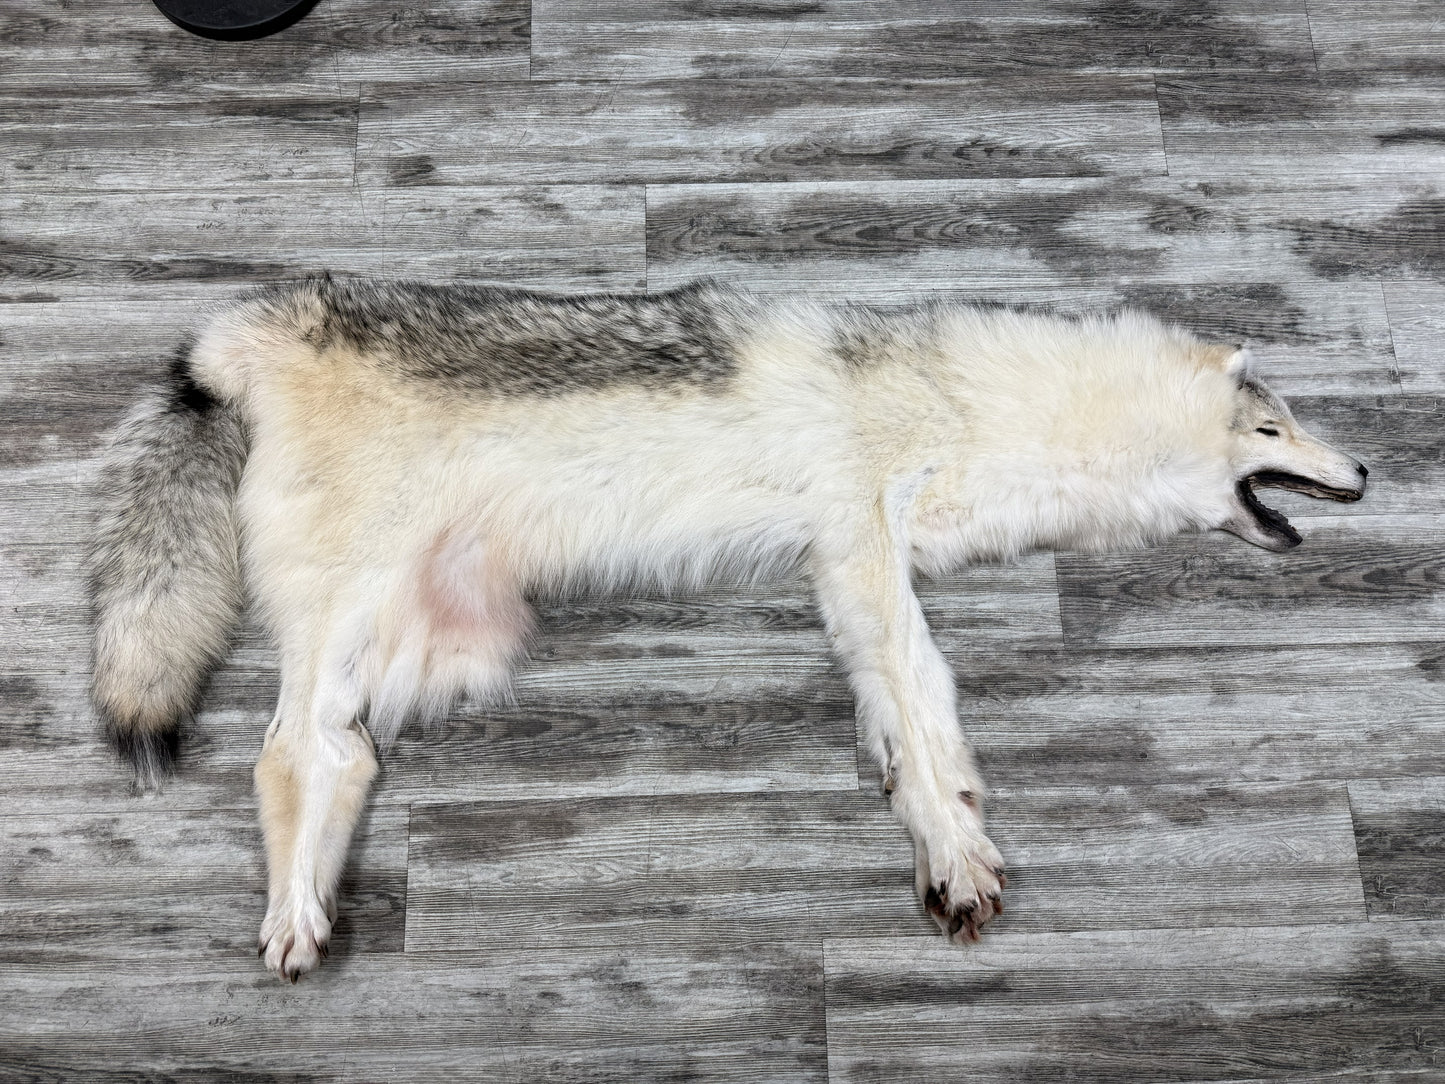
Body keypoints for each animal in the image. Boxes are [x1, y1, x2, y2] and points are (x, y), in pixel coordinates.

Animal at [90, 276, 1367, 981]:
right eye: (1276, 425)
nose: (1366, 468)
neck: (985, 411)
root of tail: (238, 332)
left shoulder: (853, 570)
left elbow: (914, 720)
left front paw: (945, 832)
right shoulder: (860, 545)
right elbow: (923, 704)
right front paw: (955, 857)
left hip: (428, 645)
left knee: (340, 756)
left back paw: (307, 907)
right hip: (352, 614)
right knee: (284, 753)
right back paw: (293, 920)